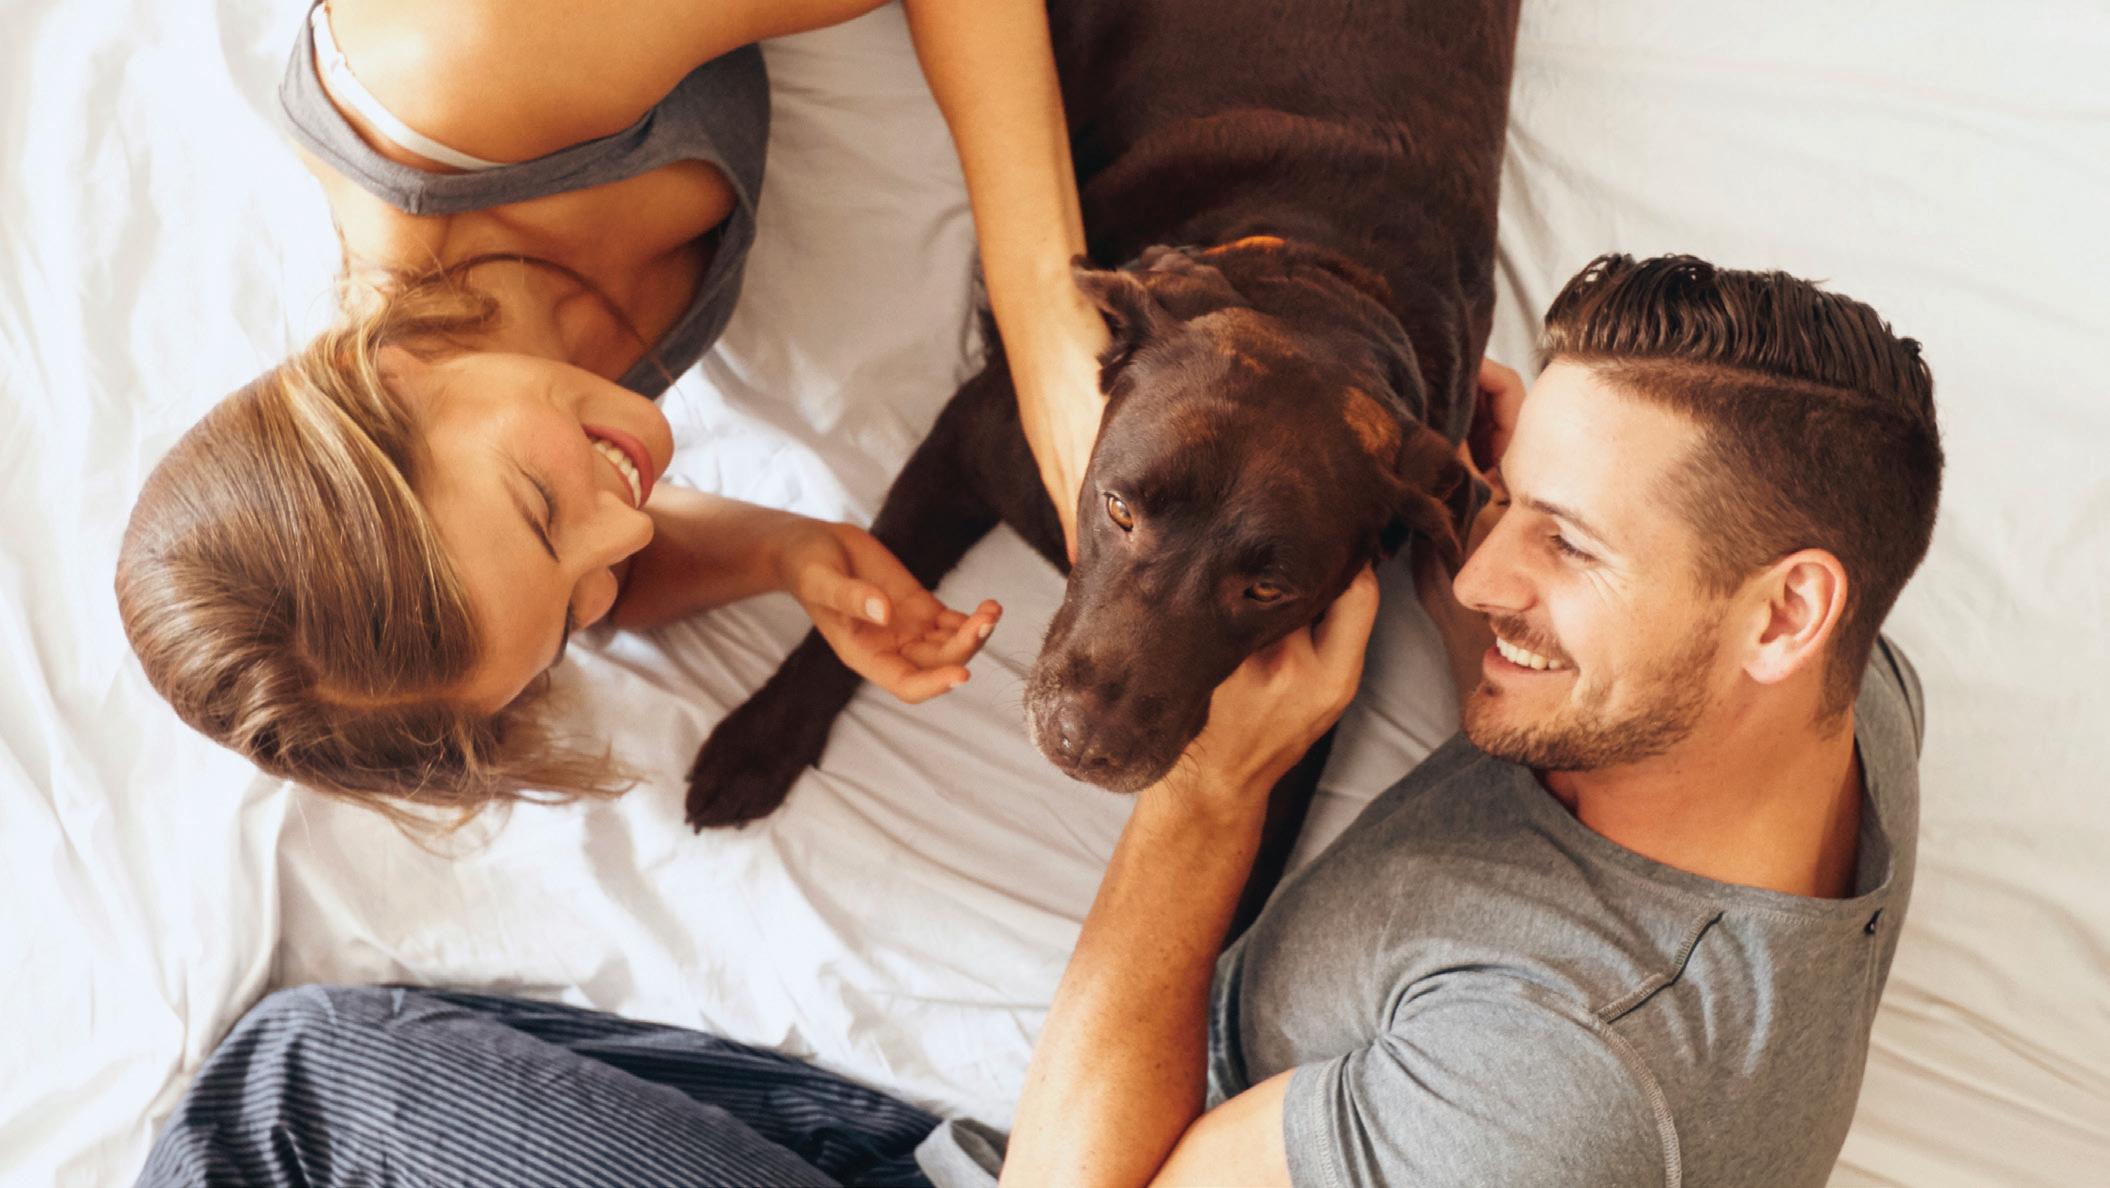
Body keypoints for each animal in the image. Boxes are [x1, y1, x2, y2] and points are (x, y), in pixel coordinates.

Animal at [686, 0, 1520, 932]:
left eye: (1270, 588)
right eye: (1120, 509)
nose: (1083, 744)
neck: (1329, 281)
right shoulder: (970, 442)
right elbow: (876, 581)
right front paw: (761, 739)